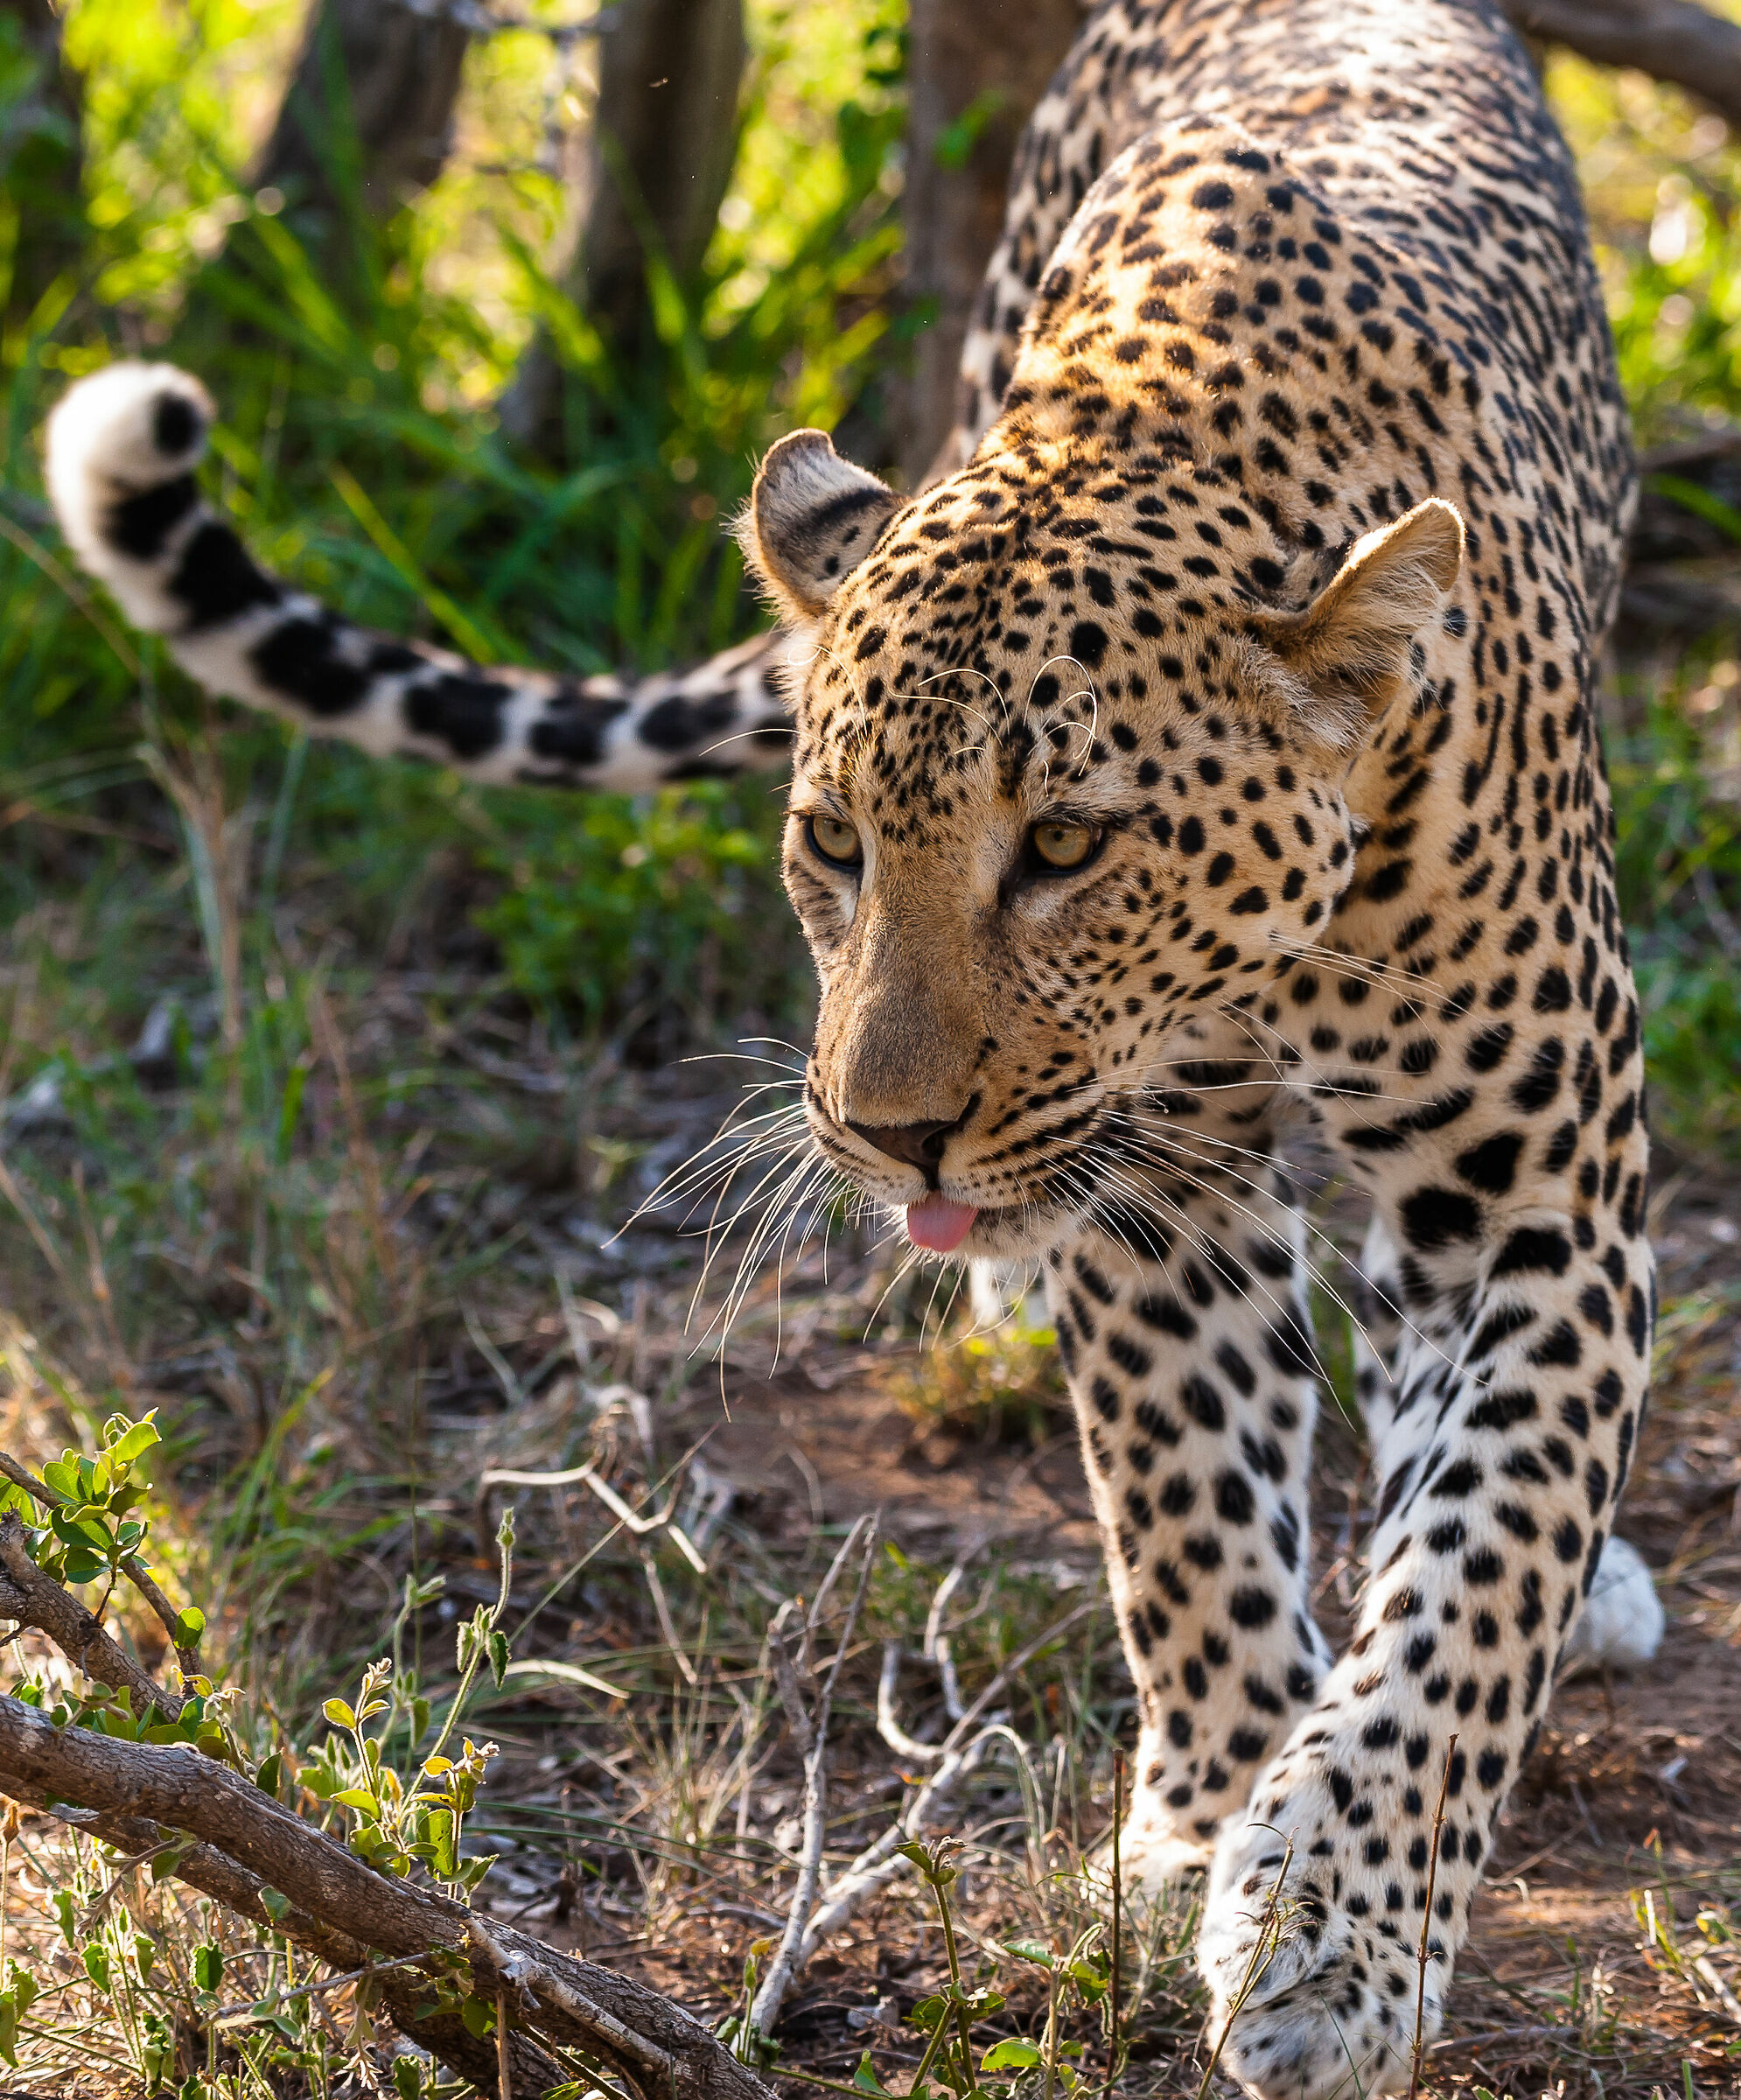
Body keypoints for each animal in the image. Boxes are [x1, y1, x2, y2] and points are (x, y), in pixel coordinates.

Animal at [43, 1, 1669, 2090]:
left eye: (1064, 844)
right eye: (832, 843)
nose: (887, 1134)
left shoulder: (1540, 1203)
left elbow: (1481, 1569)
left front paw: (1333, 1928)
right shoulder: (1157, 1192)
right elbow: (1188, 1515)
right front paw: (1214, 1816)